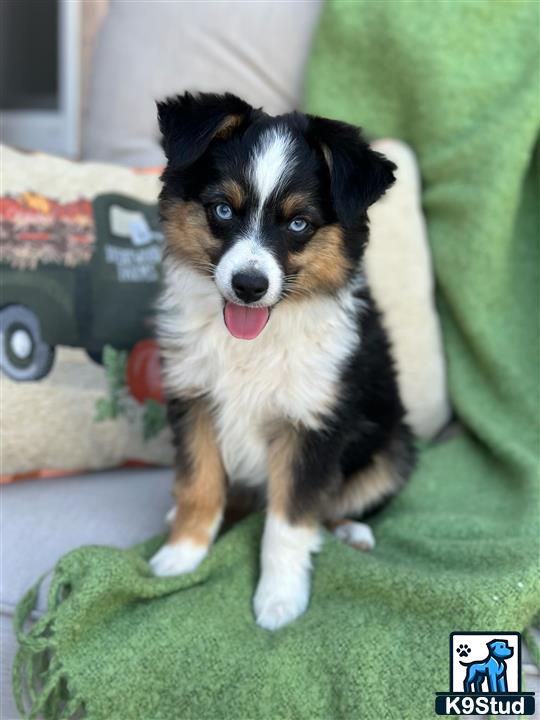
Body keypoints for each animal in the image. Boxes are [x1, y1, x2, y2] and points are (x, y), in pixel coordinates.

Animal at [150, 91, 416, 632]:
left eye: (299, 224)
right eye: (222, 209)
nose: (249, 285)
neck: (257, 338)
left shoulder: (313, 422)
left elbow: (289, 521)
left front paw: (278, 601)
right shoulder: (192, 398)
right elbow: (198, 485)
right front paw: (182, 554)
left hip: (394, 448)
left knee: (339, 501)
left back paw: (351, 532)